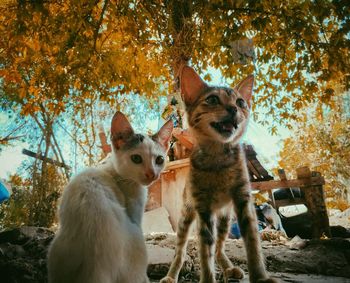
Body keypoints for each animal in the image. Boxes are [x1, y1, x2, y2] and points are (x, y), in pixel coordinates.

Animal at [47, 112, 173, 282]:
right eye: (136, 158)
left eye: (159, 159)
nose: (152, 174)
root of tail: (97, 267)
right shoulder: (135, 212)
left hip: (55, 252)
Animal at [160, 67, 278, 283]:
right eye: (213, 99)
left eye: (240, 102)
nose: (233, 109)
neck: (218, 158)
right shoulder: (203, 208)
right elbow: (205, 251)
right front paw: (207, 278)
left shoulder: (243, 199)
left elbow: (252, 242)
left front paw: (260, 277)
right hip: (186, 218)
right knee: (181, 251)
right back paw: (171, 275)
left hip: (225, 219)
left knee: (219, 247)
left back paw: (229, 268)